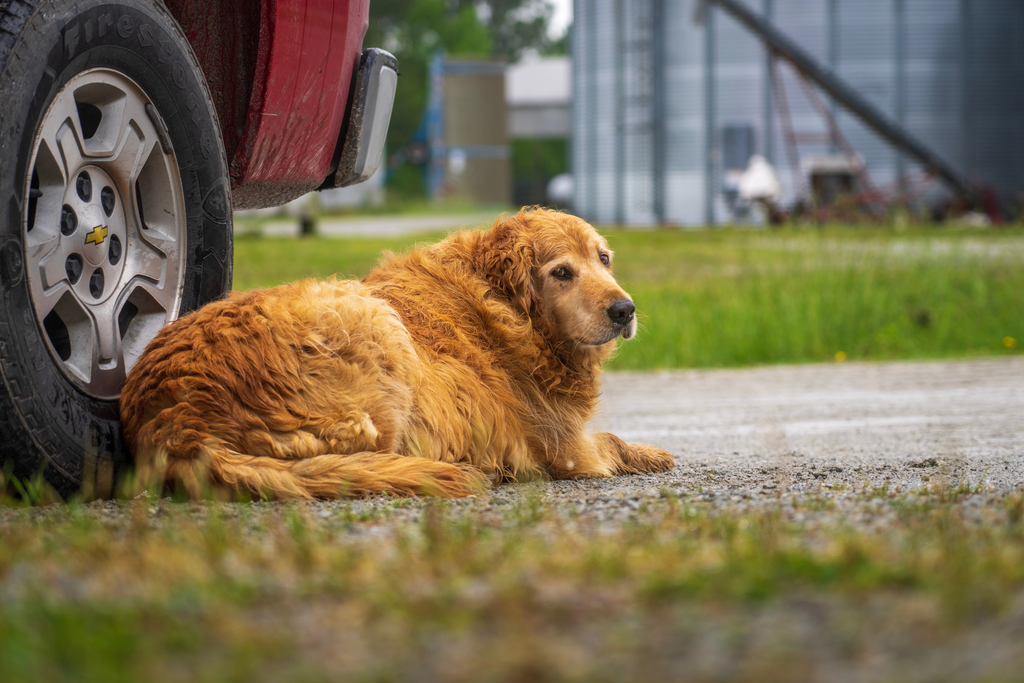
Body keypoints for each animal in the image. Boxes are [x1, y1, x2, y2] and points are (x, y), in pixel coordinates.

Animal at [119, 205, 675, 499]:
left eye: (603, 259)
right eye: (562, 272)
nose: (624, 310)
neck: (504, 306)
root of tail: (172, 416)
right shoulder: (567, 448)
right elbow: (609, 440)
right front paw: (650, 453)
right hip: (373, 322)